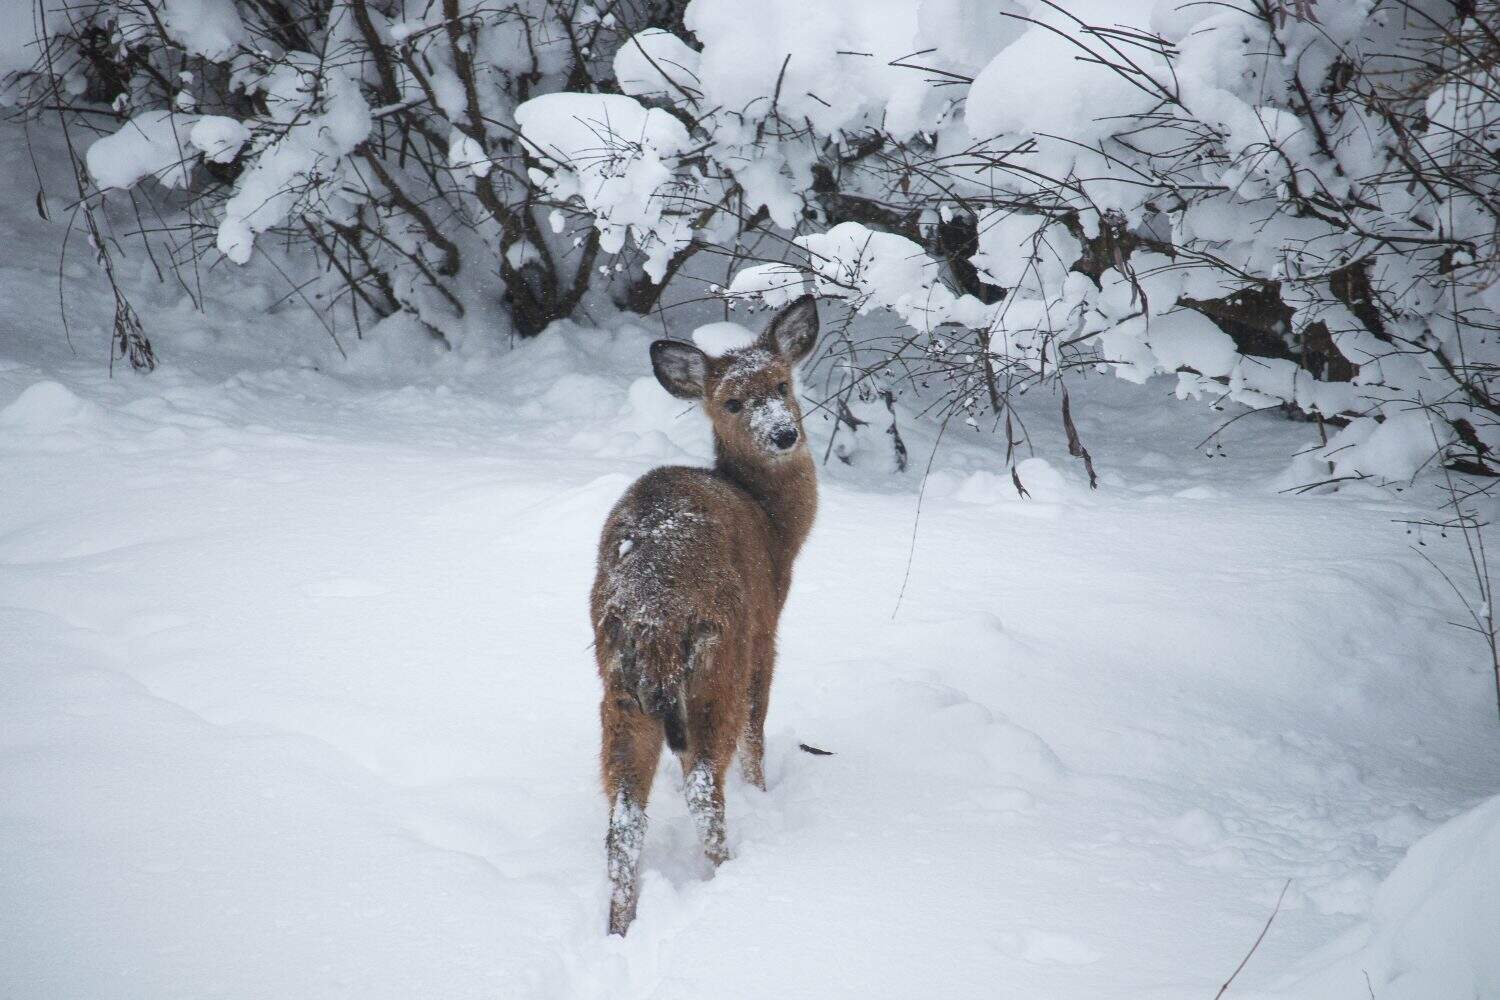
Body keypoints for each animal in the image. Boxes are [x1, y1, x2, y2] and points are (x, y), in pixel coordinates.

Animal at [589, 295, 820, 936]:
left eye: (783, 383)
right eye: (733, 402)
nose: (784, 433)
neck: (775, 528)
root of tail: (654, 618)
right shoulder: (766, 630)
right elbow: (757, 729)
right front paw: (760, 791)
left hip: (619, 686)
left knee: (624, 813)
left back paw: (619, 927)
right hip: (718, 657)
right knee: (701, 782)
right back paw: (728, 876)